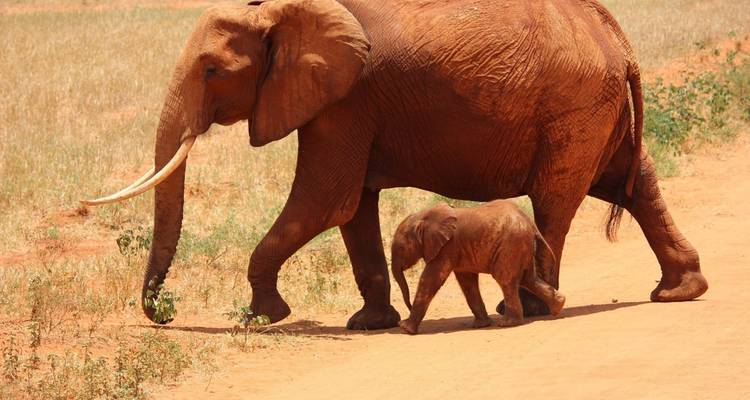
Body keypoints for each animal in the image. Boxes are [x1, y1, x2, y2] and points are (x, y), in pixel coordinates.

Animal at [391, 201, 566, 335]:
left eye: (401, 248)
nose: (408, 306)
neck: (424, 216)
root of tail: (531, 224)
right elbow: (467, 282)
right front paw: (482, 325)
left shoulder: (447, 247)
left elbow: (431, 279)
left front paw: (405, 328)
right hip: (521, 246)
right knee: (528, 279)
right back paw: (559, 307)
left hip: (511, 246)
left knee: (506, 280)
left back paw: (508, 323)